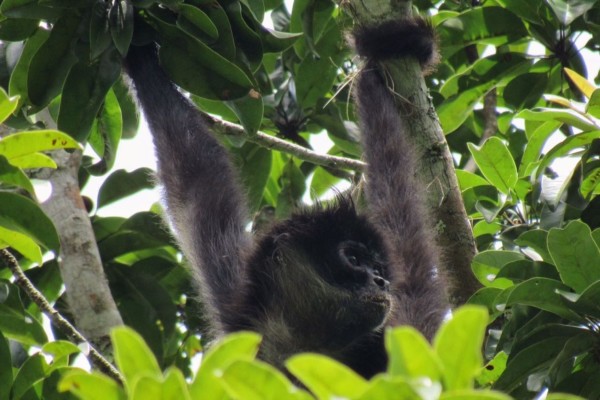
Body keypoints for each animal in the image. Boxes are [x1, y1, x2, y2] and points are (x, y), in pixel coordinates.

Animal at [125, 16, 446, 378]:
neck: (301, 346)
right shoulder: (240, 312)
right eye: (354, 259)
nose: (380, 281)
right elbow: (196, 182)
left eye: (378, 268)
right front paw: (140, 56)